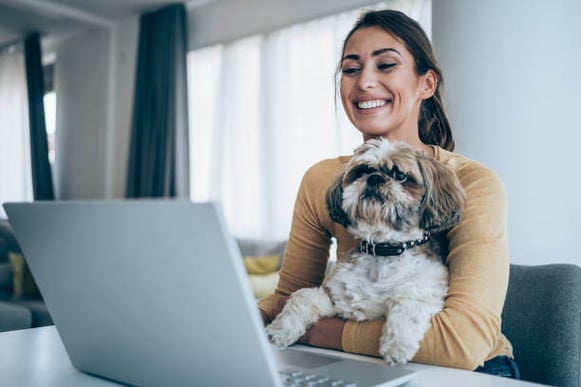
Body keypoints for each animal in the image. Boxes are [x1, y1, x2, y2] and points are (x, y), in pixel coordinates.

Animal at [268, 139, 466, 366]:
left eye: (400, 175)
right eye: (362, 171)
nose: (374, 178)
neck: (383, 251)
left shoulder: (427, 286)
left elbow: (408, 302)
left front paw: (397, 345)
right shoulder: (337, 300)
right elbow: (303, 297)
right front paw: (280, 330)